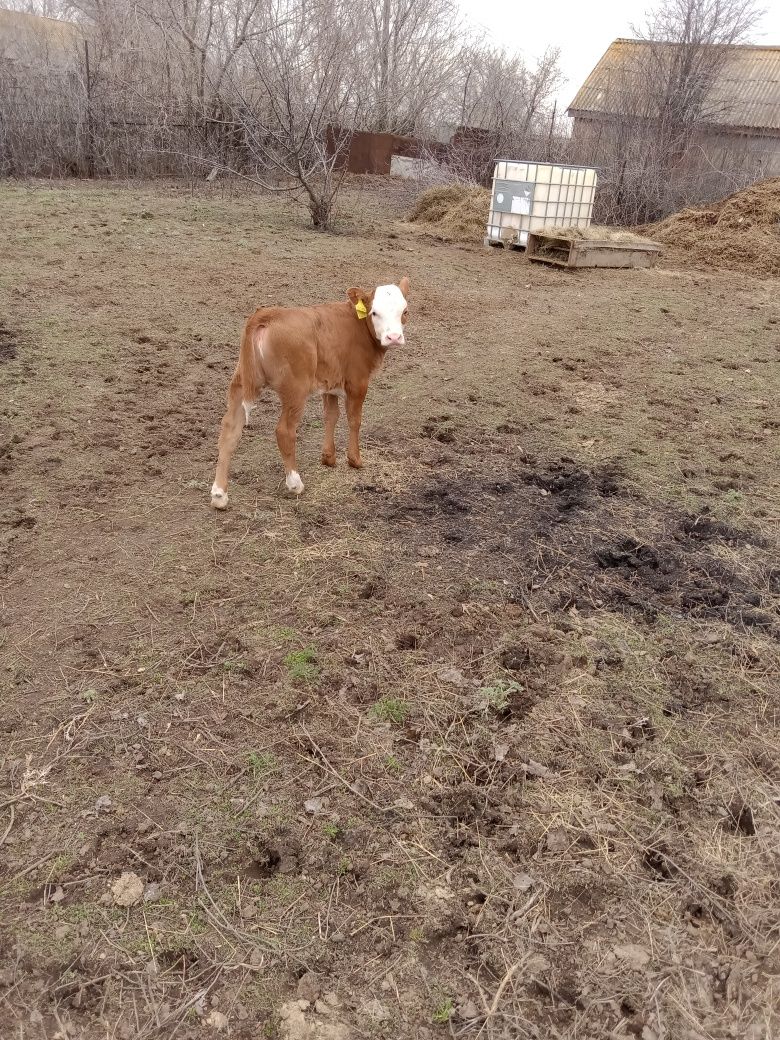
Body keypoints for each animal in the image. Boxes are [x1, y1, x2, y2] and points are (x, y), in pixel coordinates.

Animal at [211, 278, 411, 509]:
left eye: (405, 311)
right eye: (374, 312)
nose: (394, 337)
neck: (356, 324)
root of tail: (268, 314)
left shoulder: (330, 381)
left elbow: (331, 416)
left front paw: (328, 458)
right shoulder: (357, 381)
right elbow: (354, 419)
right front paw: (355, 460)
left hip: (240, 383)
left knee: (230, 429)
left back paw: (219, 494)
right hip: (295, 389)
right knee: (284, 431)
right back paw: (295, 483)